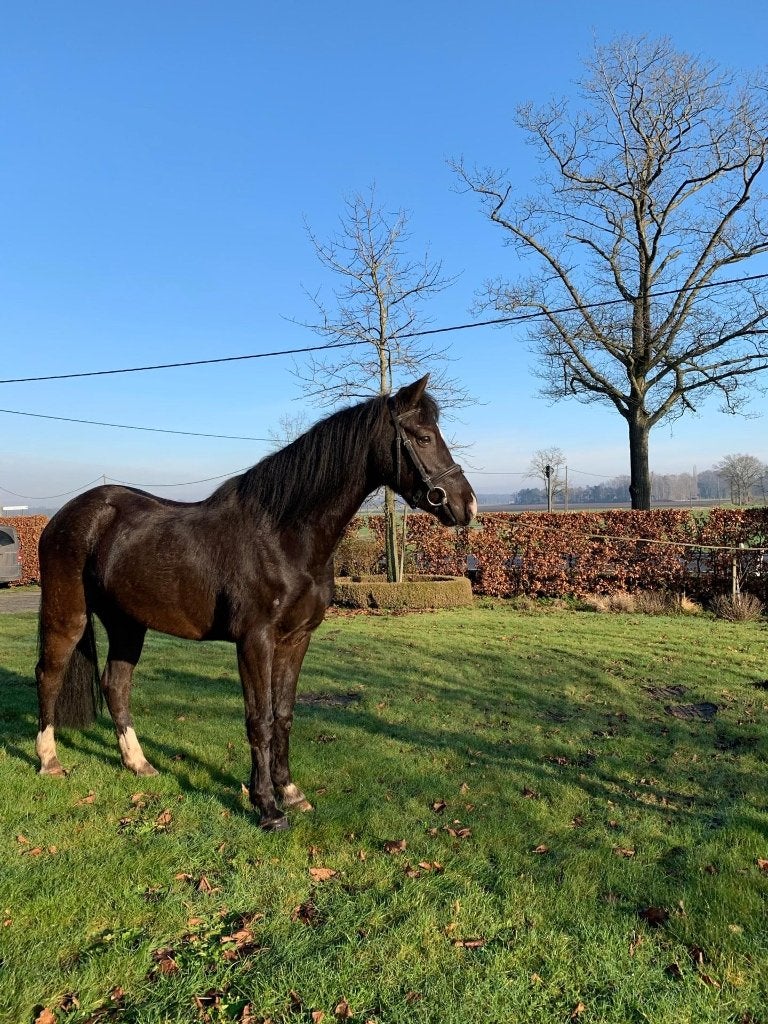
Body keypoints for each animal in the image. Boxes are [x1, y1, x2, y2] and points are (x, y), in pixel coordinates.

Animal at [34, 375, 477, 830]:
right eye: (423, 437)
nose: (467, 505)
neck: (283, 537)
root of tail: (66, 515)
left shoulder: (296, 639)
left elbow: (282, 715)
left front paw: (290, 792)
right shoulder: (255, 641)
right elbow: (258, 719)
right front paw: (267, 807)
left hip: (127, 624)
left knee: (116, 685)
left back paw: (139, 764)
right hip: (68, 615)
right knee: (48, 675)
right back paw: (49, 762)